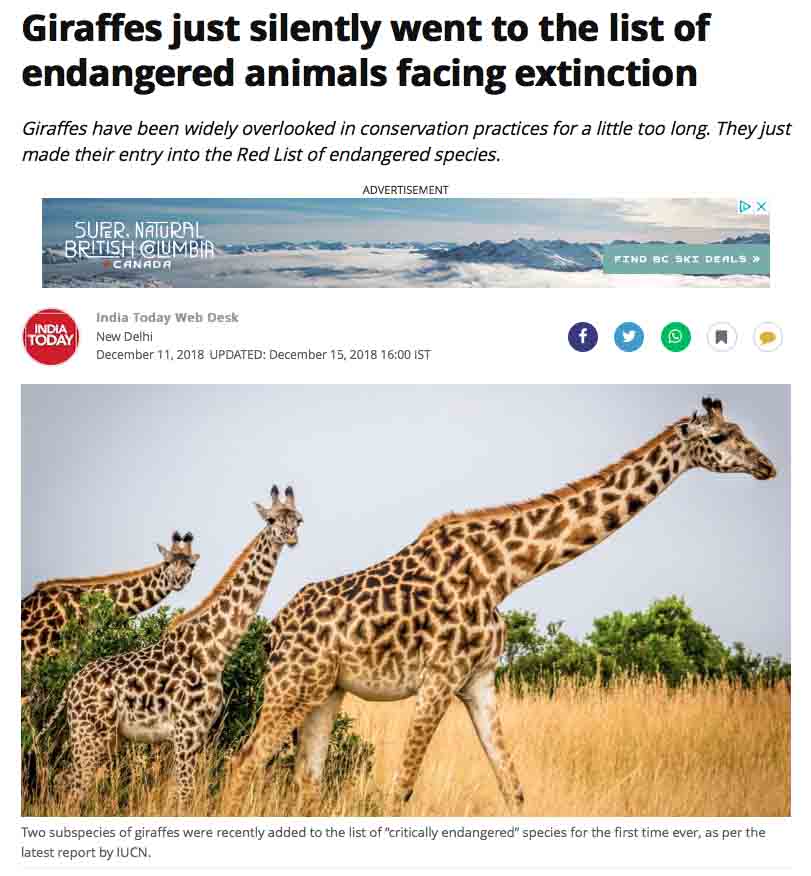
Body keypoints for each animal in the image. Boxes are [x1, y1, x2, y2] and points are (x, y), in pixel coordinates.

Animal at [44, 486, 302, 806]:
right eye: (270, 520)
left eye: (299, 520)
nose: (290, 536)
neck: (215, 650)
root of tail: (69, 688)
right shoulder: (185, 731)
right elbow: (184, 794)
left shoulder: (199, 733)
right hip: (89, 733)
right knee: (74, 787)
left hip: (106, 737)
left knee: (67, 781)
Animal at [227, 398, 777, 810]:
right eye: (719, 438)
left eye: (739, 430)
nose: (766, 465)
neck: (505, 573)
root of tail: (272, 631)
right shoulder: (439, 679)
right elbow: (400, 790)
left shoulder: (479, 681)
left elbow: (512, 787)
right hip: (292, 685)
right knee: (244, 760)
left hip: (327, 691)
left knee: (308, 778)